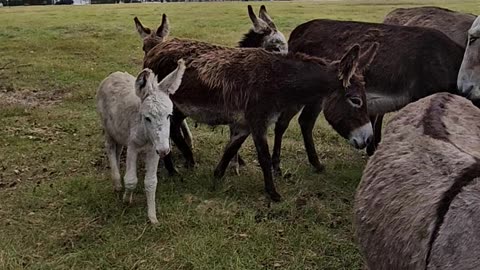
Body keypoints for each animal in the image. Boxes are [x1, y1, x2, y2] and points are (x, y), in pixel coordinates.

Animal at [96, 60, 186, 223]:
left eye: (169, 115)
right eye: (147, 118)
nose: (165, 150)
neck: (146, 137)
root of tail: (114, 74)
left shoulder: (153, 151)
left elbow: (151, 182)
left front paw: (152, 217)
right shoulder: (133, 147)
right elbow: (131, 180)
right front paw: (126, 200)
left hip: (120, 133)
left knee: (118, 150)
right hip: (108, 129)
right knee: (110, 148)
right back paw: (117, 183)